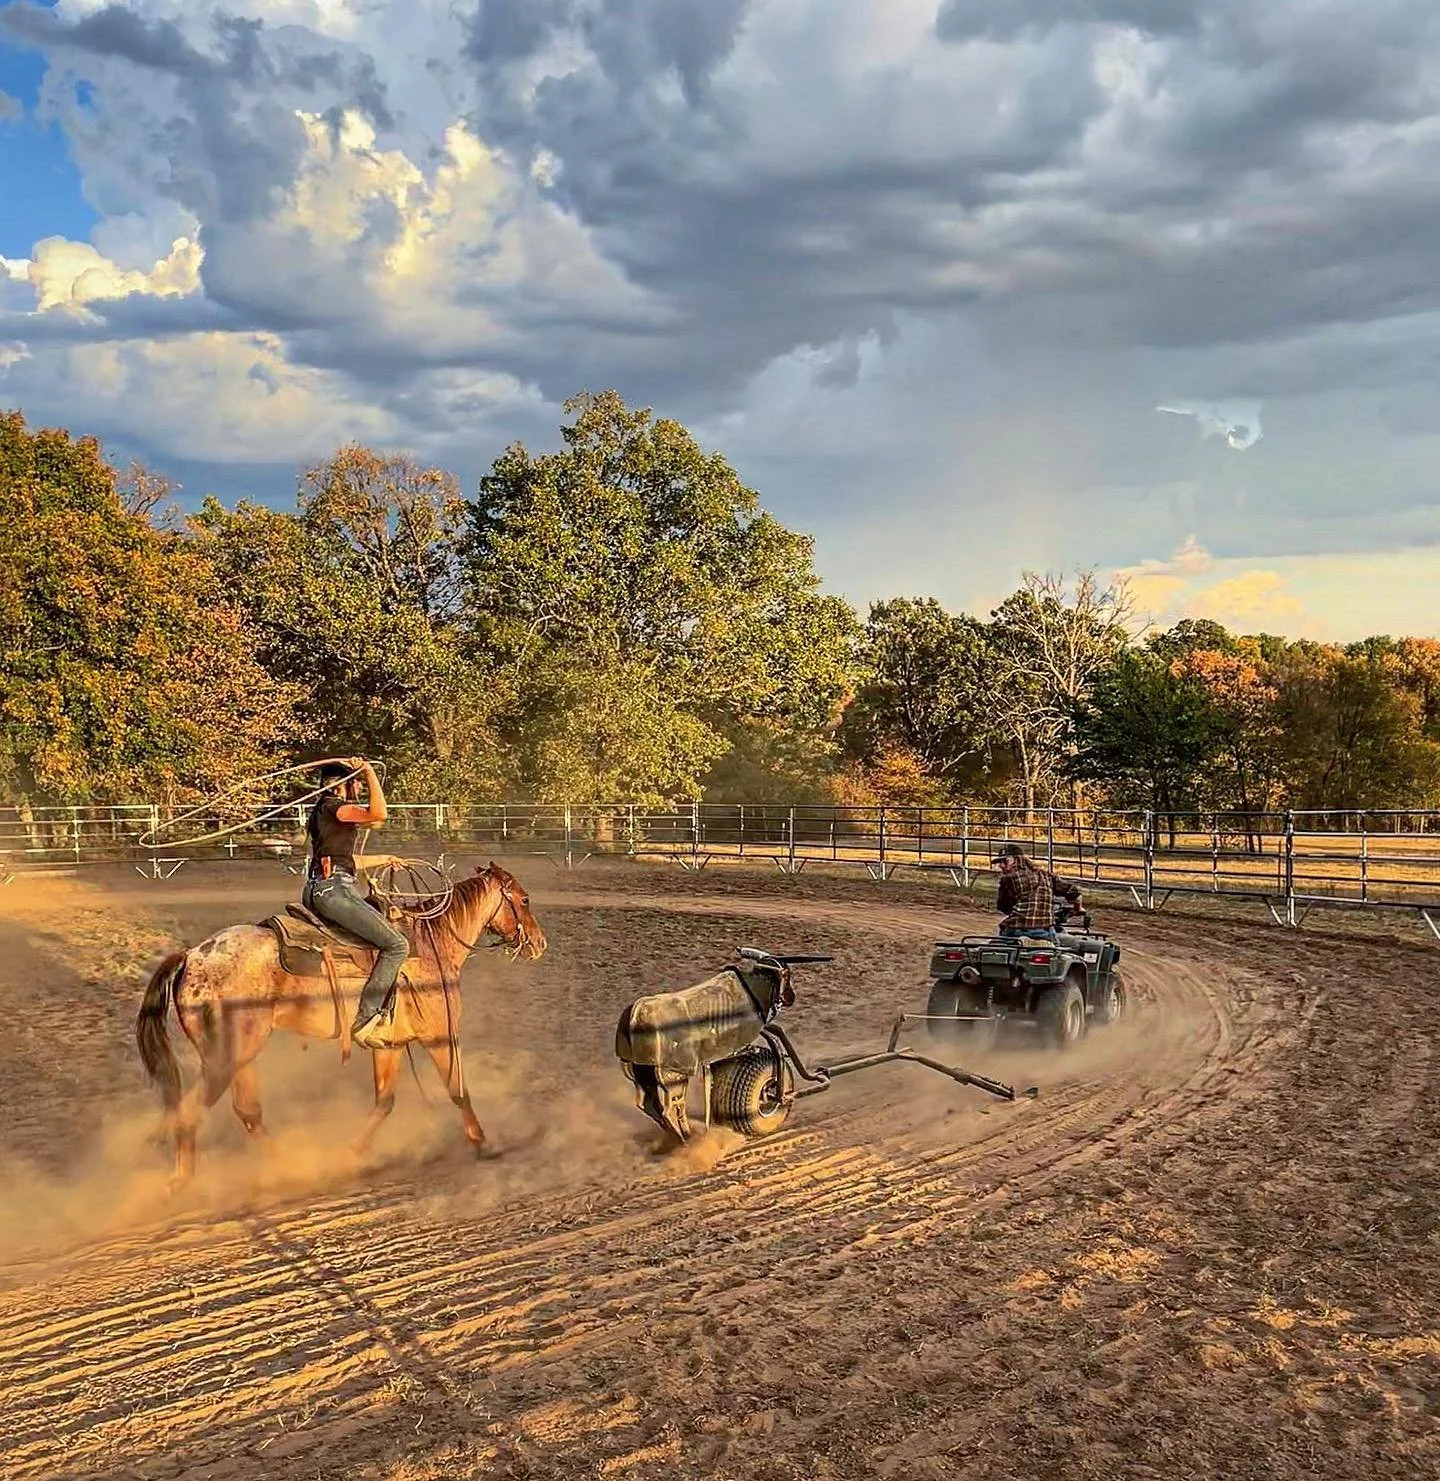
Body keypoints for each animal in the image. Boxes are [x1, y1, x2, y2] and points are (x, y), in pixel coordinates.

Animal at [135, 861, 547, 1190]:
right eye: (524, 900)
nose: (540, 943)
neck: (431, 947)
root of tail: (192, 956)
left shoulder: (390, 1046)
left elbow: (384, 1103)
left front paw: (351, 1154)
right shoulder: (440, 1036)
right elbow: (458, 1091)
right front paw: (483, 1144)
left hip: (239, 1058)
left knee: (247, 1113)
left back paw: (288, 1169)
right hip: (226, 1059)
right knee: (191, 1112)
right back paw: (182, 1180)